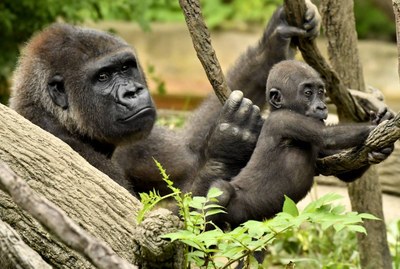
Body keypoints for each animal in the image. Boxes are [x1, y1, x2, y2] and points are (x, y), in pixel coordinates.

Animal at [211, 60, 380, 226]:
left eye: (321, 92)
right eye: (308, 93)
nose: (322, 107)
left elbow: (345, 171)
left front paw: (380, 148)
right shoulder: (285, 119)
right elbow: (327, 136)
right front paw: (377, 124)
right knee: (221, 190)